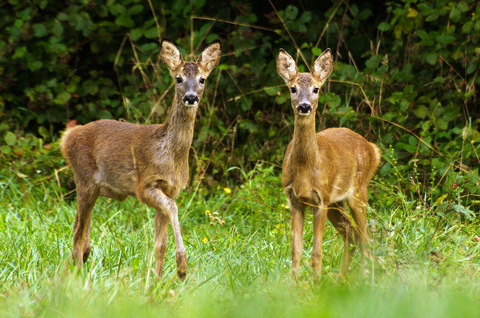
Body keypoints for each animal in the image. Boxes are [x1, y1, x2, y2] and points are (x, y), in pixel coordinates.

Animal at [60, 38, 223, 280]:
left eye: (202, 79)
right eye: (178, 78)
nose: (191, 97)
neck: (170, 153)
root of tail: (67, 137)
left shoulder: (170, 189)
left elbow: (160, 244)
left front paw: (158, 280)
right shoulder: (145, 186)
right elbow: (173, 208)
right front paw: (181, 267)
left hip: (97, 187)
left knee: (79, 225)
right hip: (85, 178)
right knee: (77, 233)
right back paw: (79, 273)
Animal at [276, 48, 380, 280]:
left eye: (316, 88)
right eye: (293, 88)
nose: (304, 106)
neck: (305, 169)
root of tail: (372, 148)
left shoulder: (320, 198)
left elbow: (316, 252)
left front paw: (316, 284)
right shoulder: (294, 199)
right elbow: (296, 251)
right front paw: (293, 286)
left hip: (358, 191)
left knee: (366, 238)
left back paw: (365, 279)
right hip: (337, 202)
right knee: (352, 235)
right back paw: (341, 280)